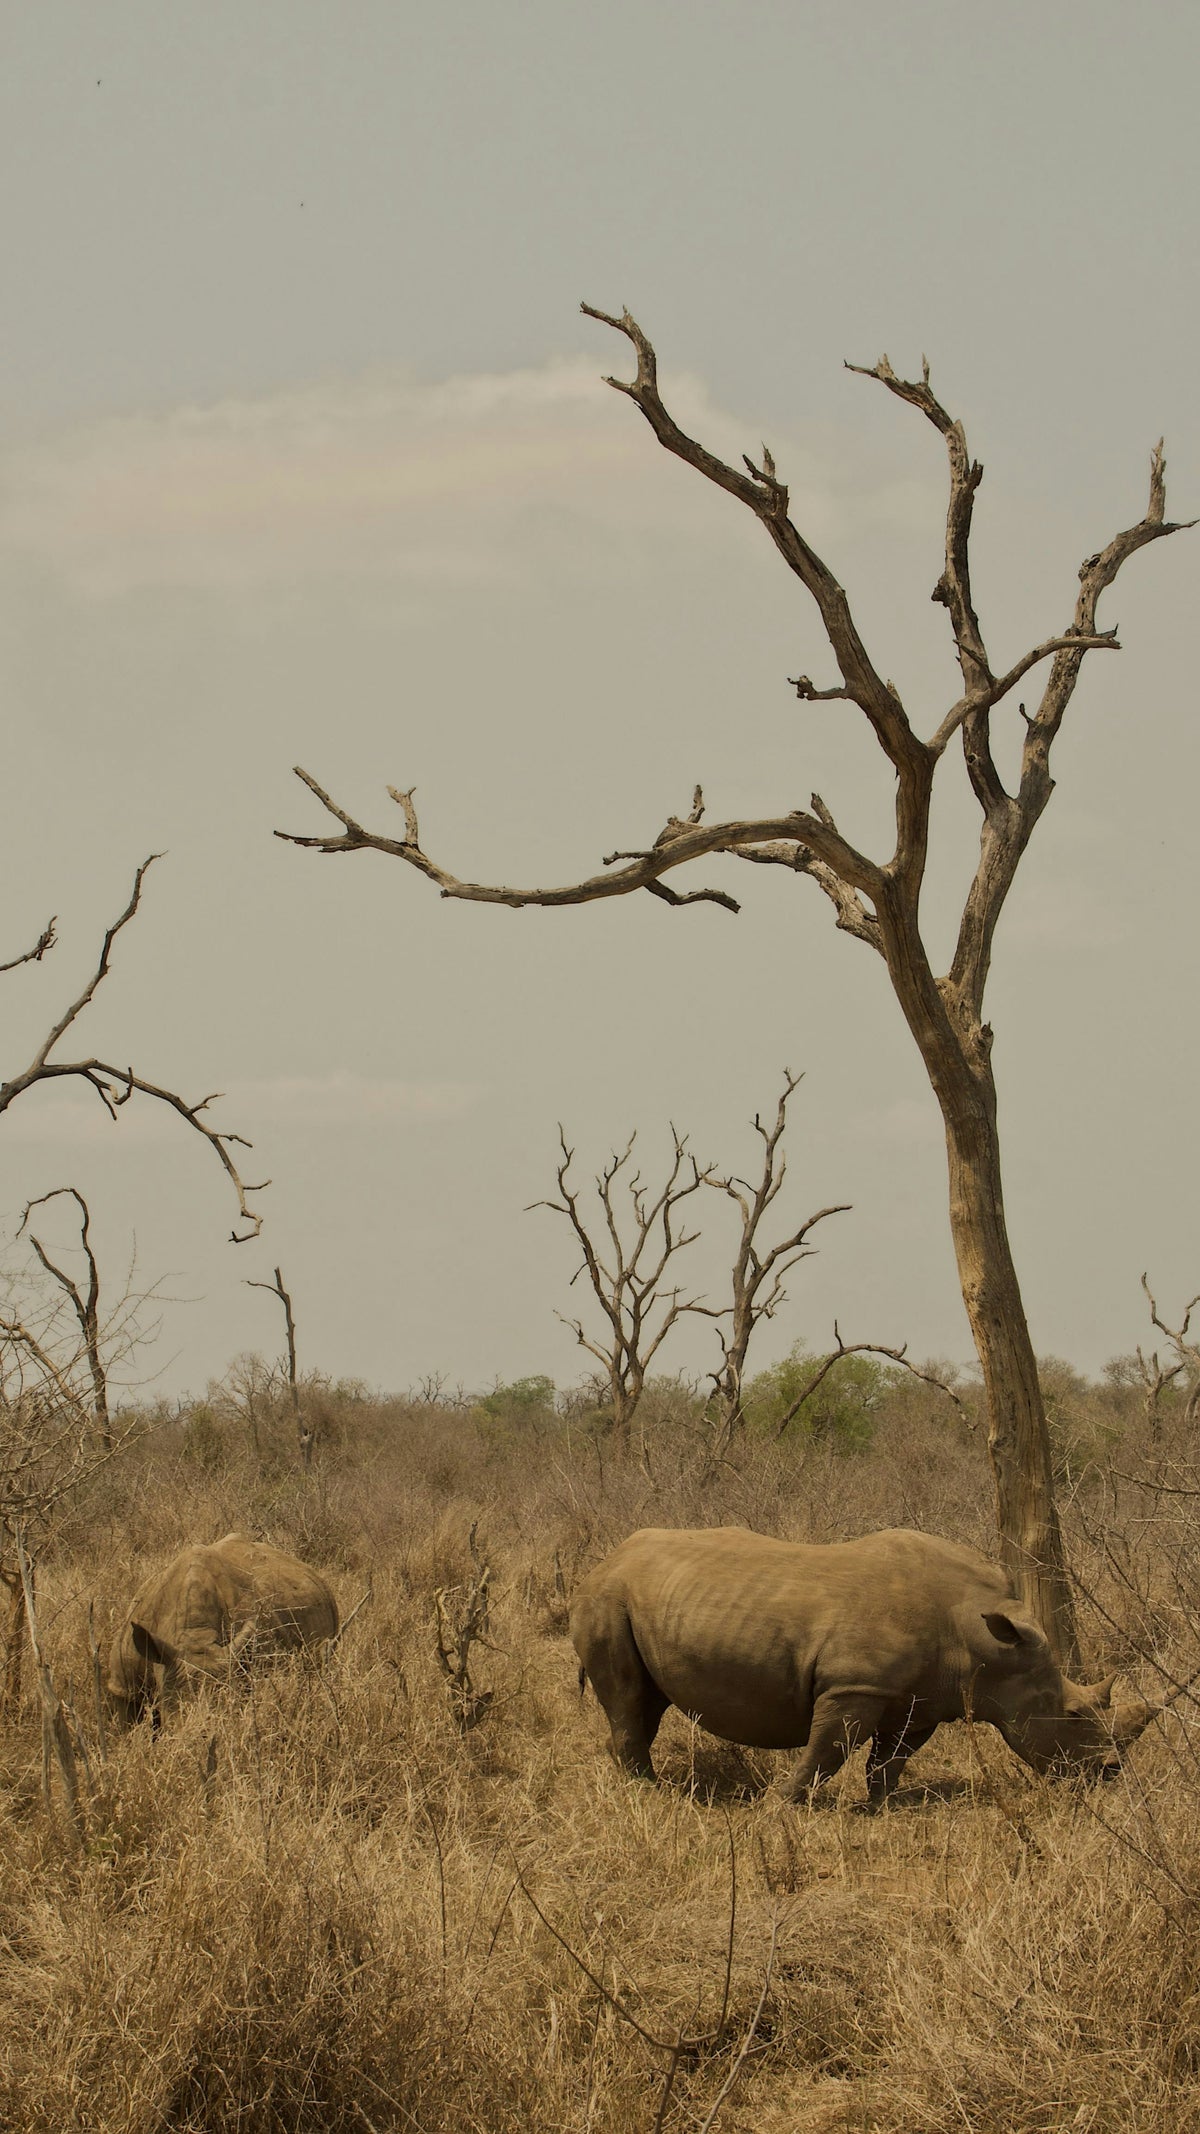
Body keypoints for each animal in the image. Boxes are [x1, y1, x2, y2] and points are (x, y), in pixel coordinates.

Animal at [570, 1526, 1158, 1803]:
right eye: (1073, 1716)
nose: (1111, 1774)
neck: (988, 1643)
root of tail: (603, 1560)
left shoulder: (922, 1699)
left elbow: (891, 1758)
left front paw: (877, 1807)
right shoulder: (856, 1685)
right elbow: (829, 1750)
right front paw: (779, 1806)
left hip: (640, 1600)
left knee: (647, 1703)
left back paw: (641, 1782)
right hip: (606, 1599)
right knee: (628, 1698)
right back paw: (649, 1793)